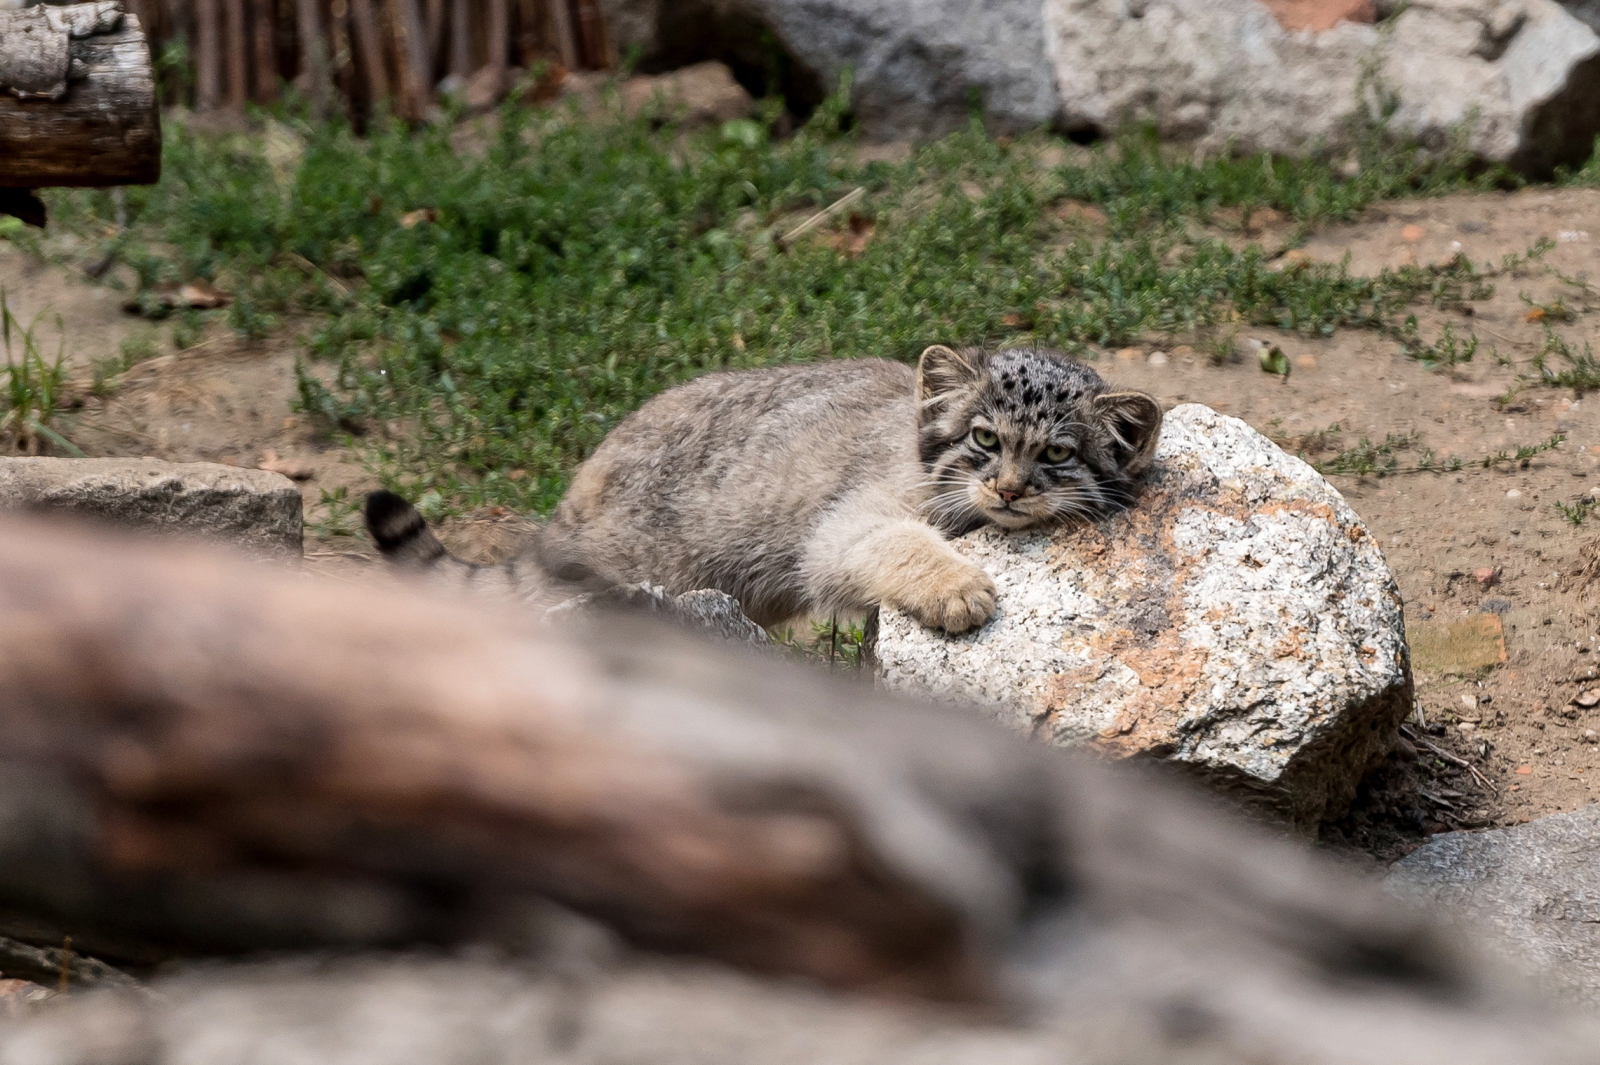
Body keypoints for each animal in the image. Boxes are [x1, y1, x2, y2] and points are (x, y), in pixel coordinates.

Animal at [366, 347, 1158, 630]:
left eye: (1056, 452)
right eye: (984, 440)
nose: (1009, 490)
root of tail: (564, 508)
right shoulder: (846, 524)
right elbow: (895, 541)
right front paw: (955, 586)